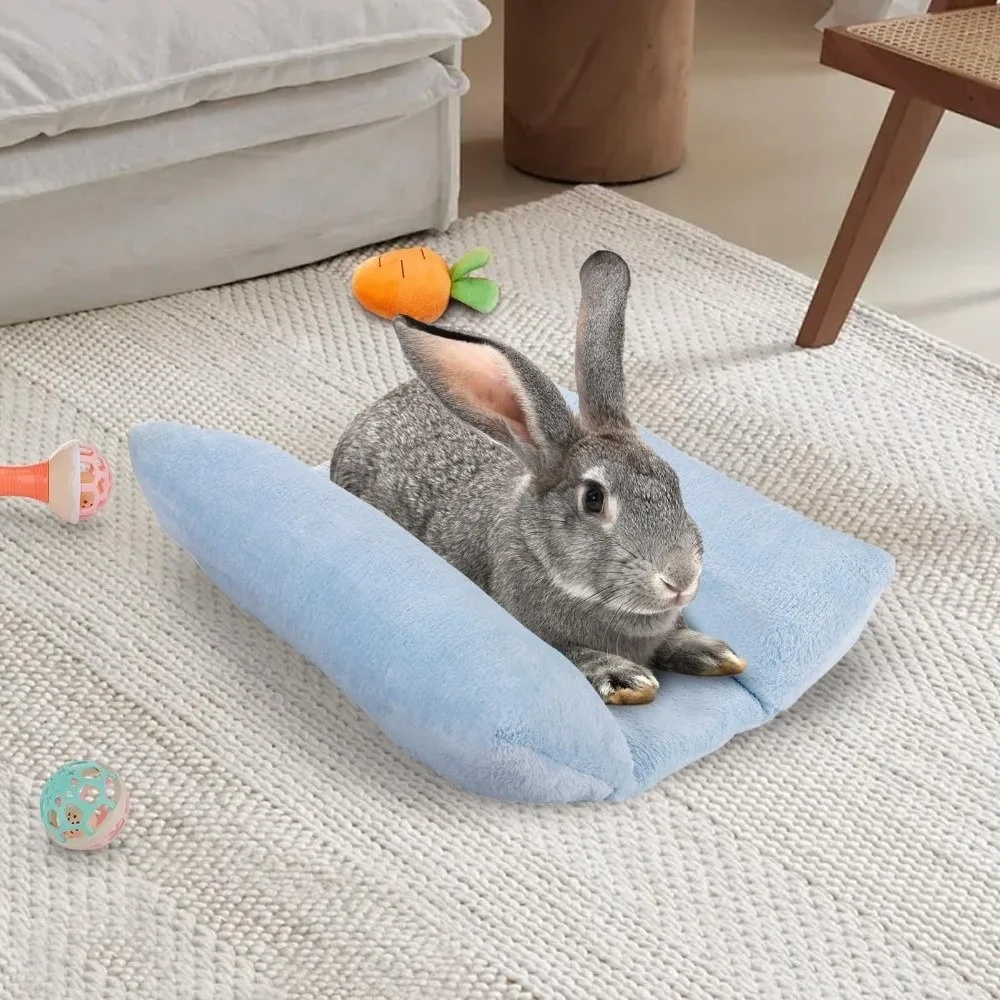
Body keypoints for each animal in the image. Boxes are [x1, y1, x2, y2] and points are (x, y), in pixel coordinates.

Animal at [331, 249, 745, 705]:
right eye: (594, 499)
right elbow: (574, 655)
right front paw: (627, 680)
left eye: (673, 480)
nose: (681, 580)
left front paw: (715, 653)